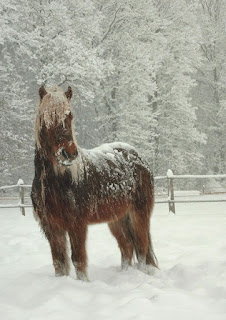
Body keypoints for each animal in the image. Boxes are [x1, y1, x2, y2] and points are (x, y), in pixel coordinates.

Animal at [30, 85, 158, 280]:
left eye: (70, 116)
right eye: (47, 116)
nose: (68, 153)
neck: (60, 183)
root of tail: (138, 156)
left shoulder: (77, 225)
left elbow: (78, 260)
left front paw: (83, 283)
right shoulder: (51, 227)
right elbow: (59, 262)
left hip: (139, 213)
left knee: (141, 247)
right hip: (117, 218)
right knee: (127, 247)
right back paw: (124, 274)